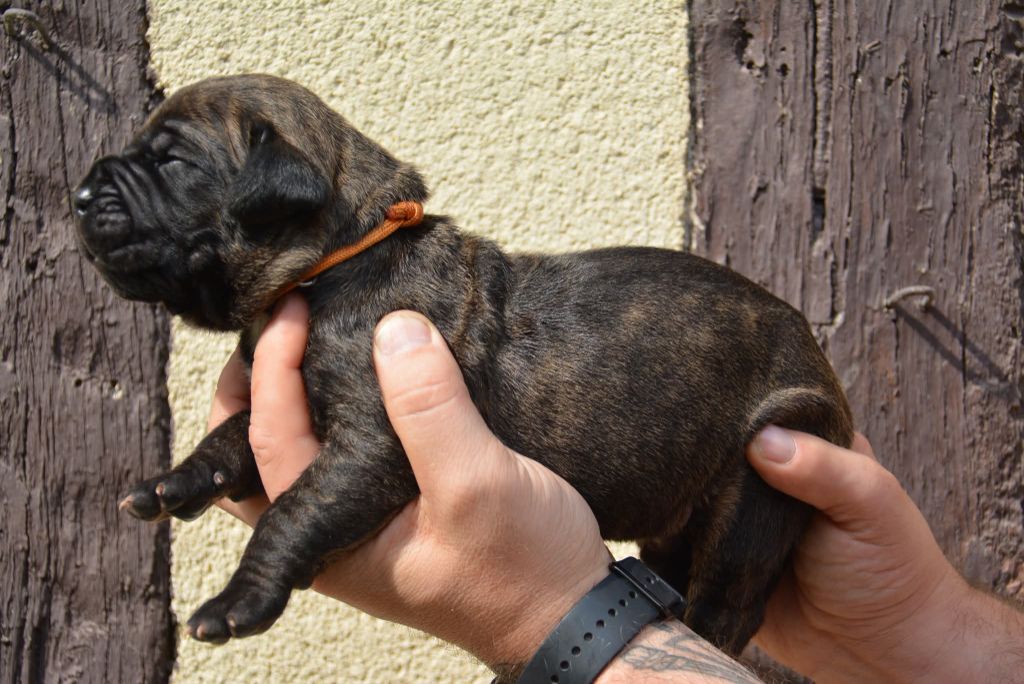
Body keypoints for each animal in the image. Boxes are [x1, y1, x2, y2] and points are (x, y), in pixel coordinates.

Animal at [73, 74, 853, 660]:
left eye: (172, 163)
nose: (79, 195)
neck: (337, 261)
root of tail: (819, 353)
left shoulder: (371, 442)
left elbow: (294, 510)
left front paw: (238, 601)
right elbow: (230, 438)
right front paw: (175, 482)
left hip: (765, 478)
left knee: (728, 601)